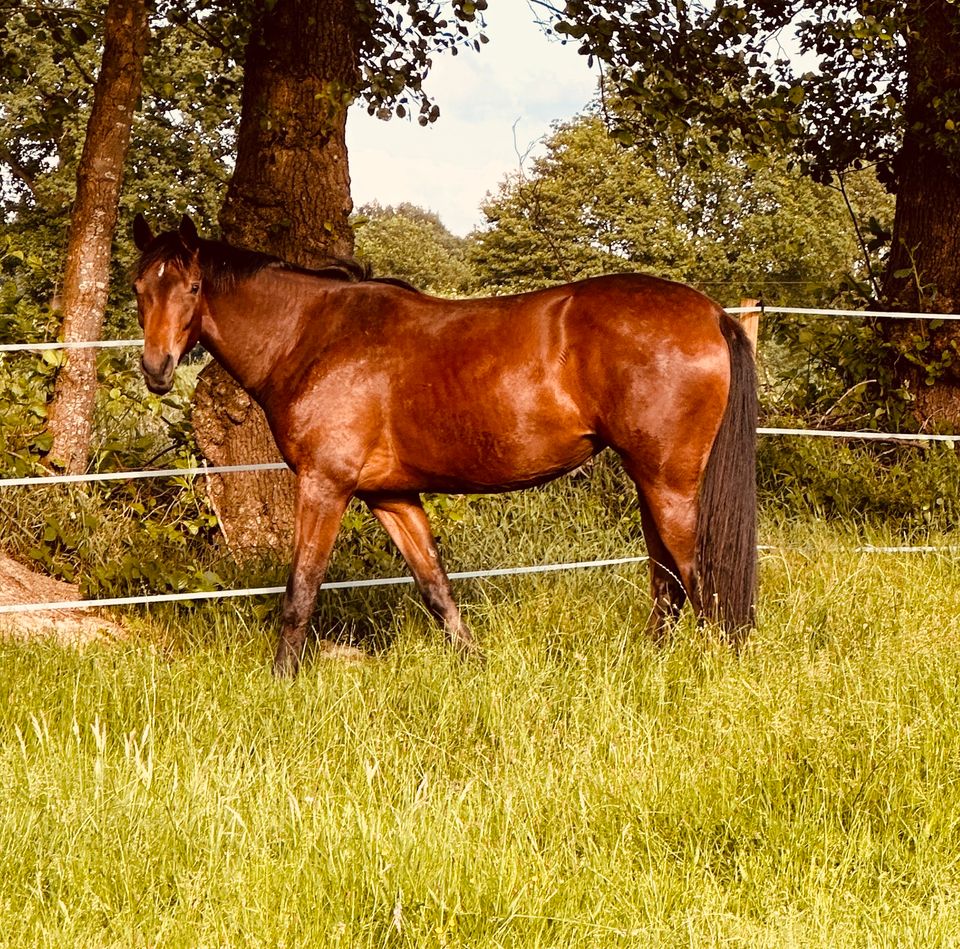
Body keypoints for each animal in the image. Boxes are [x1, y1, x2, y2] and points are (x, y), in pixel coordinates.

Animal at [131, 215, 756, 672]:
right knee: (667, 578)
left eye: (192, 287)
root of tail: (712, 314)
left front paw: (281, 681)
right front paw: (474, 664)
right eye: (139, 288)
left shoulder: (323, 486)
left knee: (697, 575)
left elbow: (300, 592)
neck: (313, 334)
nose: (157, 370)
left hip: (669, 482)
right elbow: (435, 587)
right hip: (649, 480)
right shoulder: (390, 497)